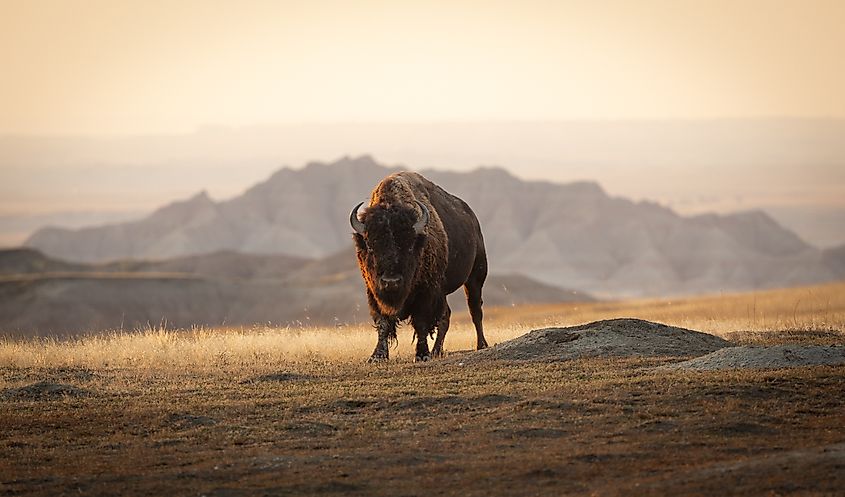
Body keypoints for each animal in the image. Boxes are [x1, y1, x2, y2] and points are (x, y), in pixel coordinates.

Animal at [350, 171, 489, 362]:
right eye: (371, 247)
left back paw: (481, 345)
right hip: (444, 290)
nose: (391, 281)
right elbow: (383, 323)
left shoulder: (426, 292)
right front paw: (377, 356)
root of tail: (473, 220)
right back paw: (437, 351)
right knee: (446, 316)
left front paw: (422, 355)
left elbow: (421, 322)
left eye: (409, 247)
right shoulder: (373, 292)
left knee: (475, 310)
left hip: (475, 277)